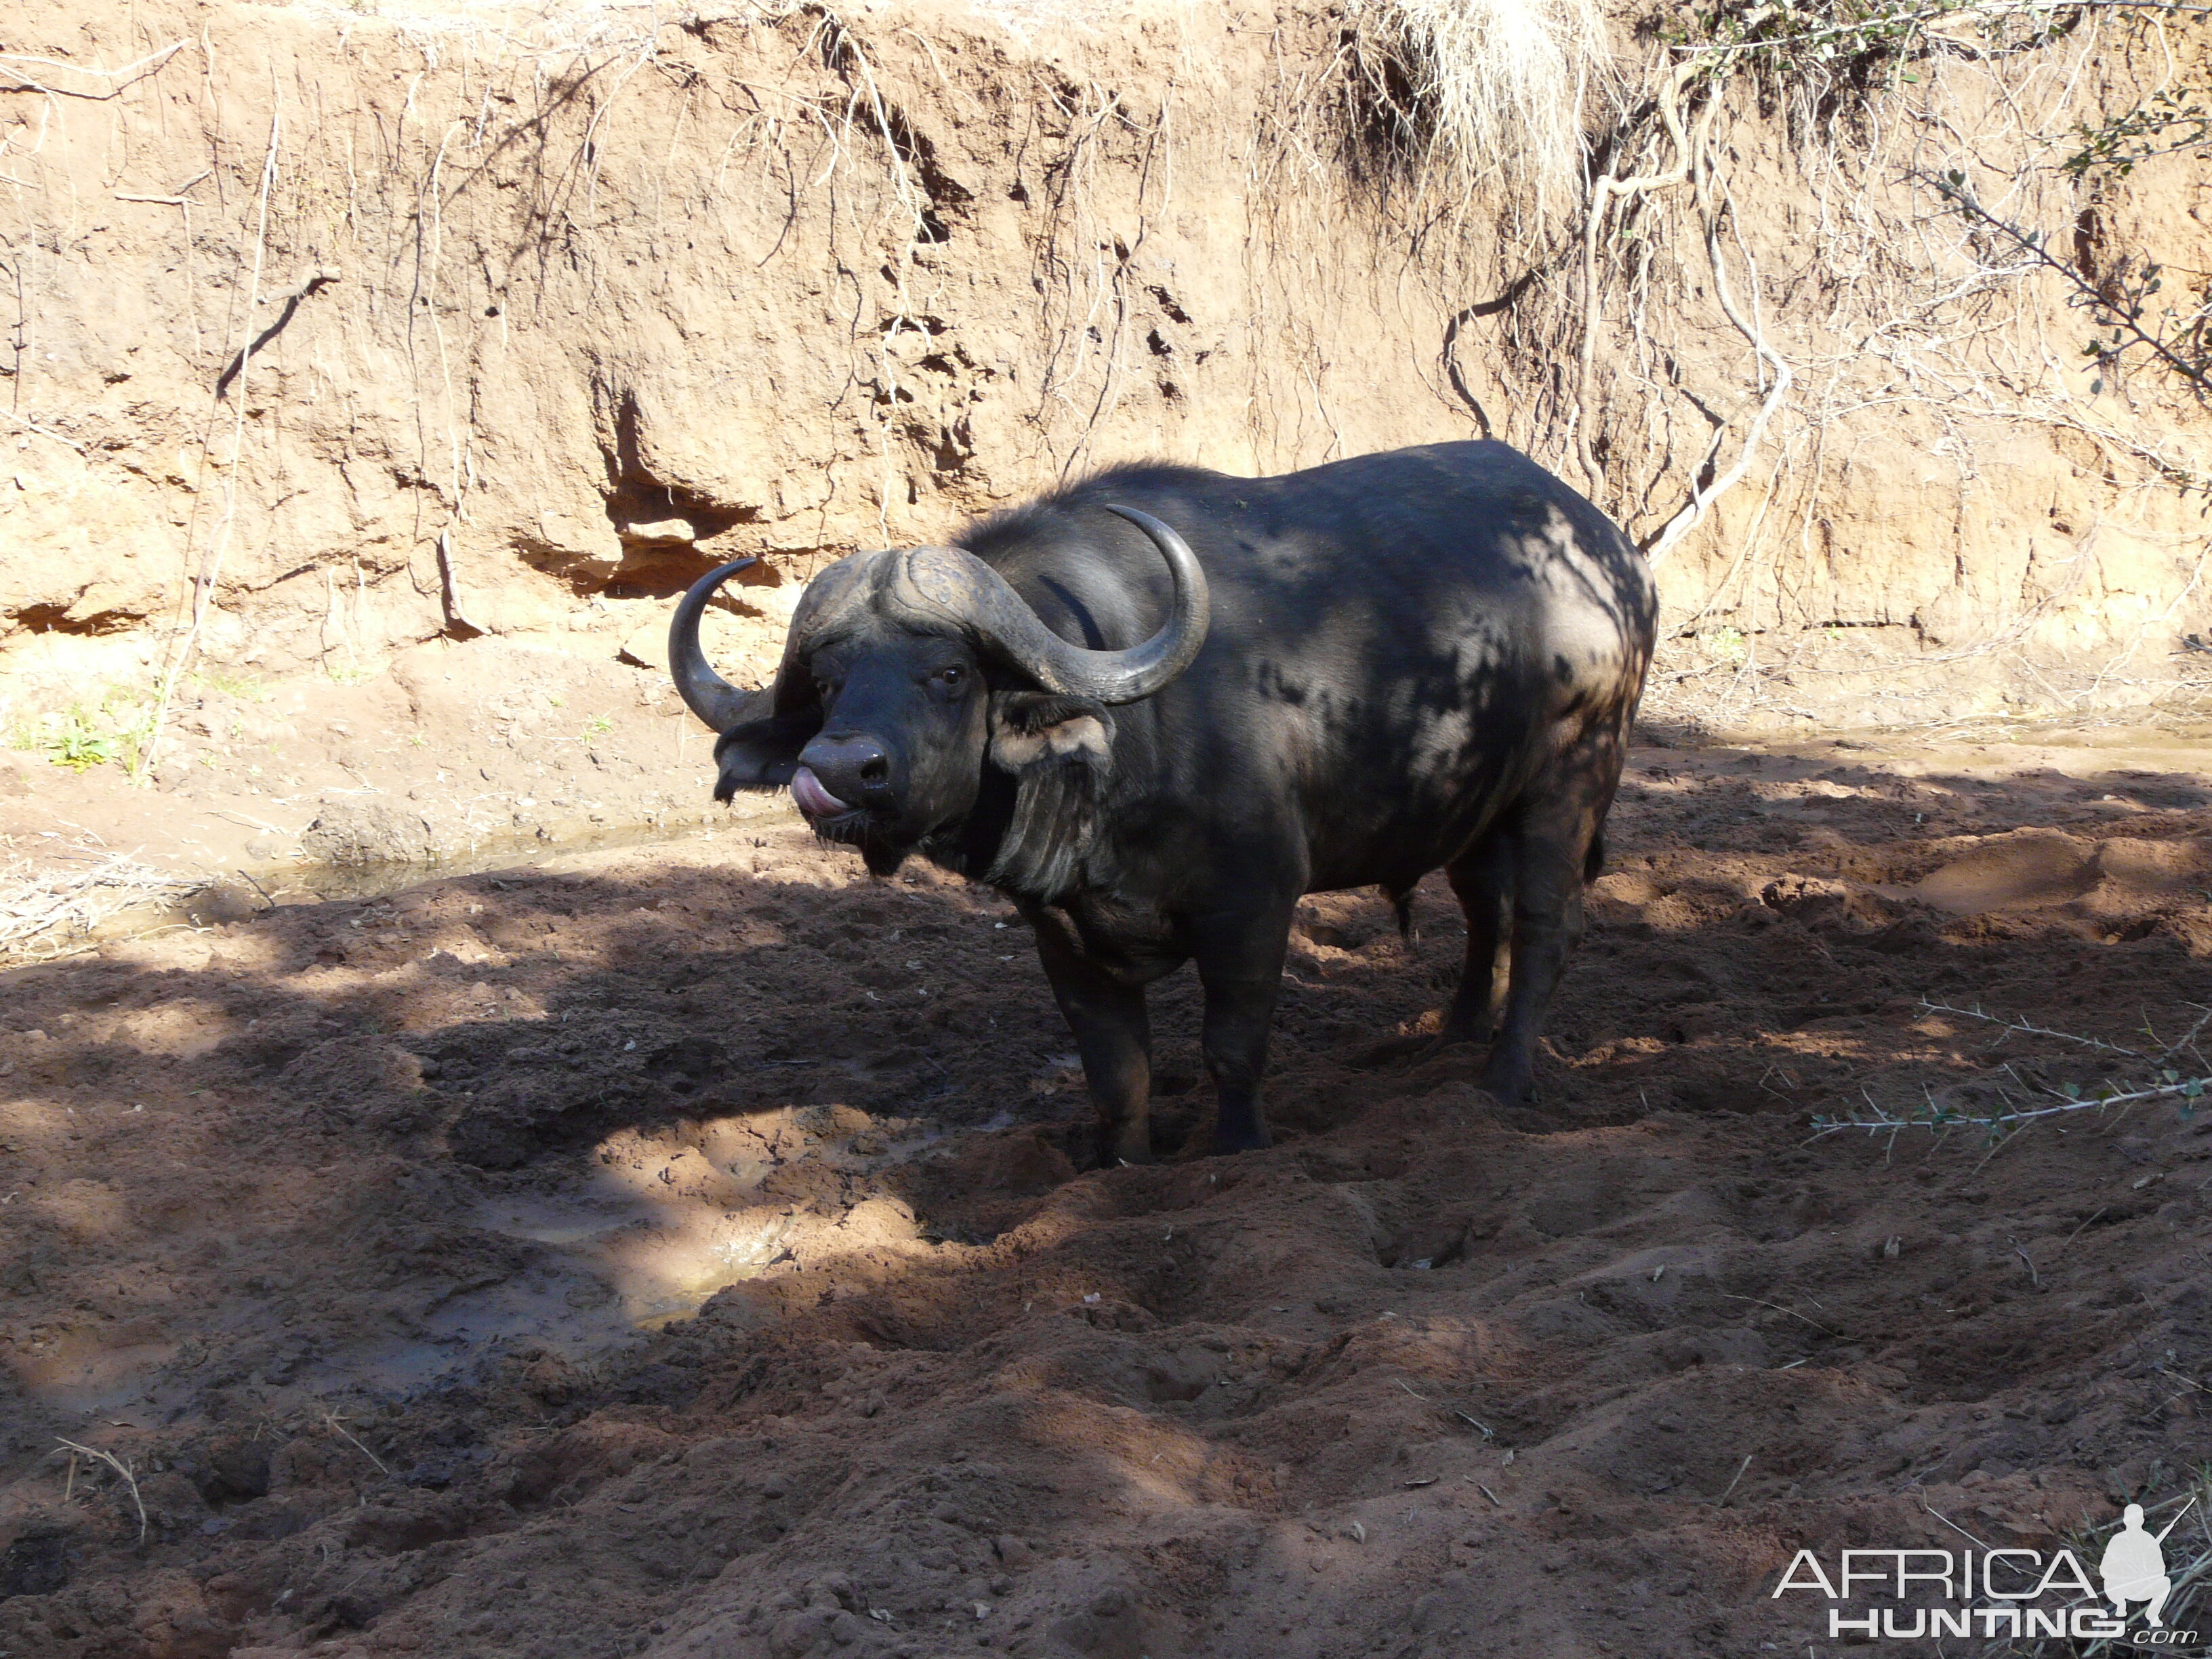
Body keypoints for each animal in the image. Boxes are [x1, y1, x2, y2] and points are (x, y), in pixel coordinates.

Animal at [663, 449, 1654, 1159]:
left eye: (948, 674)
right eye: (829, 684)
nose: (836, 770)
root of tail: (1610, 556)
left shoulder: (1253, 906)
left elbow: (1233, 1047)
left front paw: (1239, 1148)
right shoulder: (1061, 937)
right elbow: (1118, 1076)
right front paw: (1124, 1166)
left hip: (1572, 775)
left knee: (1544, 925)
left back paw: (1505, 1080)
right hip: (1469, 805)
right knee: (1485, 910)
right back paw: (1452, 1033)